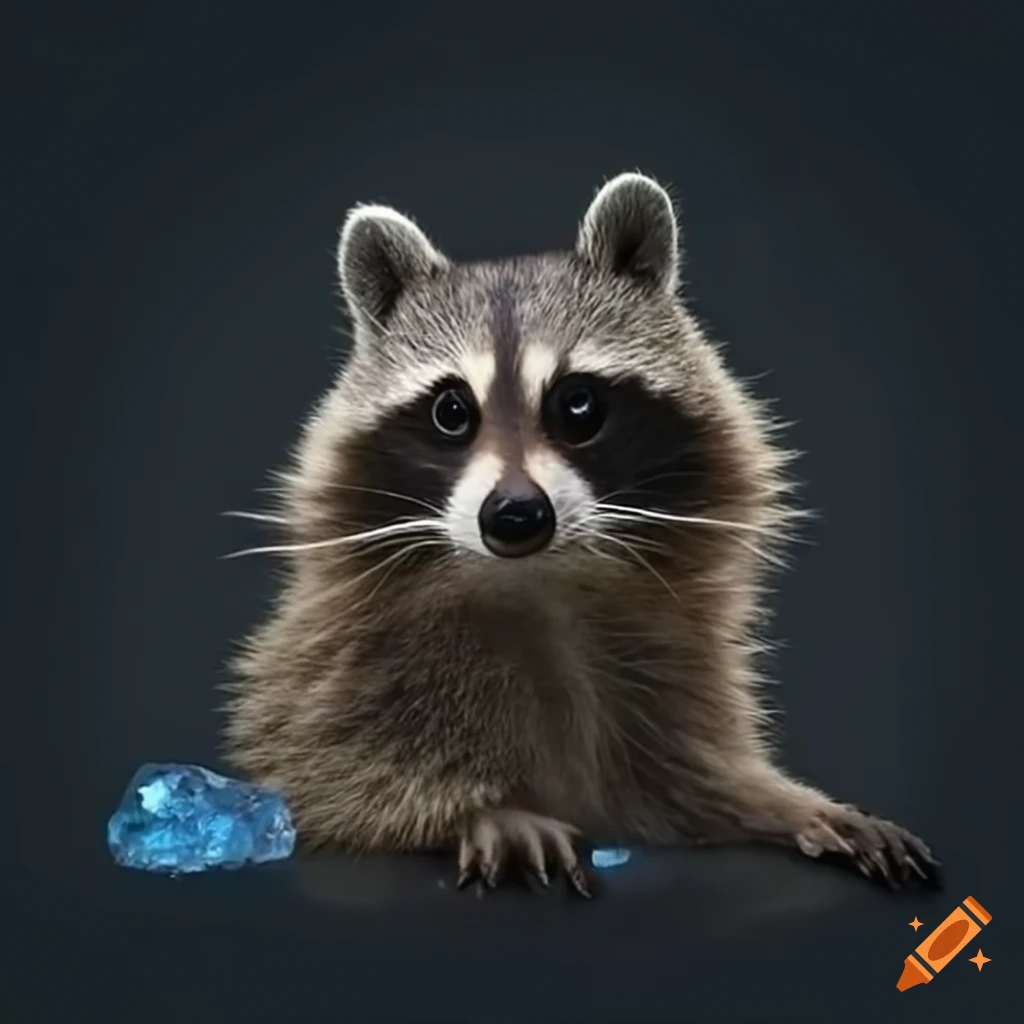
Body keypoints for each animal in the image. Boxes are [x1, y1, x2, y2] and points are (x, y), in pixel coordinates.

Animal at [223, 173, 941, 896]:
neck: (535, 579)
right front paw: (480, 810)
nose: (515, 515)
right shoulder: (338, 669)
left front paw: (788, 803)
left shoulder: (671, 673)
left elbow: (691, 778)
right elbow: (329, 773)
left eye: (578, 404)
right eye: (451, 410)